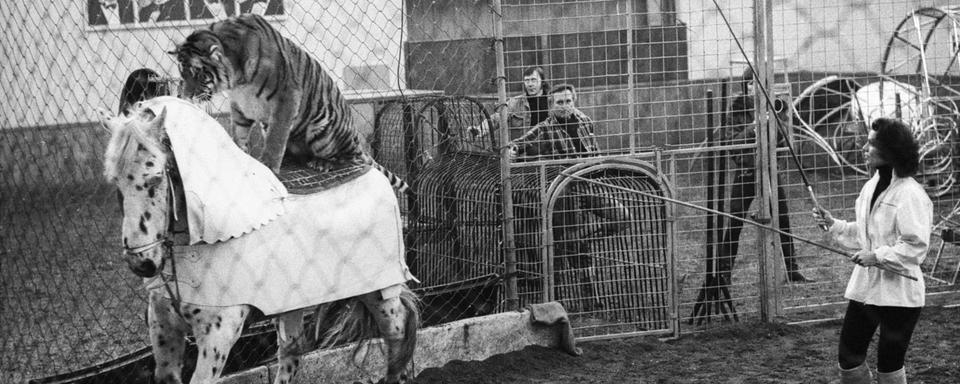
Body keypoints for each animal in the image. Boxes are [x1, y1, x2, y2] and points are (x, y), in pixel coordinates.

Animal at [101, 97, 420, 384]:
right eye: (115, 182)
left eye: (155, 178)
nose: (141, 263)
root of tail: (372, 168)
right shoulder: (163, 325)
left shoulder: (219, 334)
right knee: (292, 353)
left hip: (380, 292)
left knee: (398, 336)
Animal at [170, 13, 408, 194]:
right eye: (182, 73)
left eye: (198, 74)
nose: (184, 96)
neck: (236, 79)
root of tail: (356, 141)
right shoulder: (240, 105)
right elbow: (239, 132)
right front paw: (241, 156)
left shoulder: (286, 97)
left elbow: (276, 138)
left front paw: (268, 165)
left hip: (325, 130)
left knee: (351, 159)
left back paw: (324, 163)